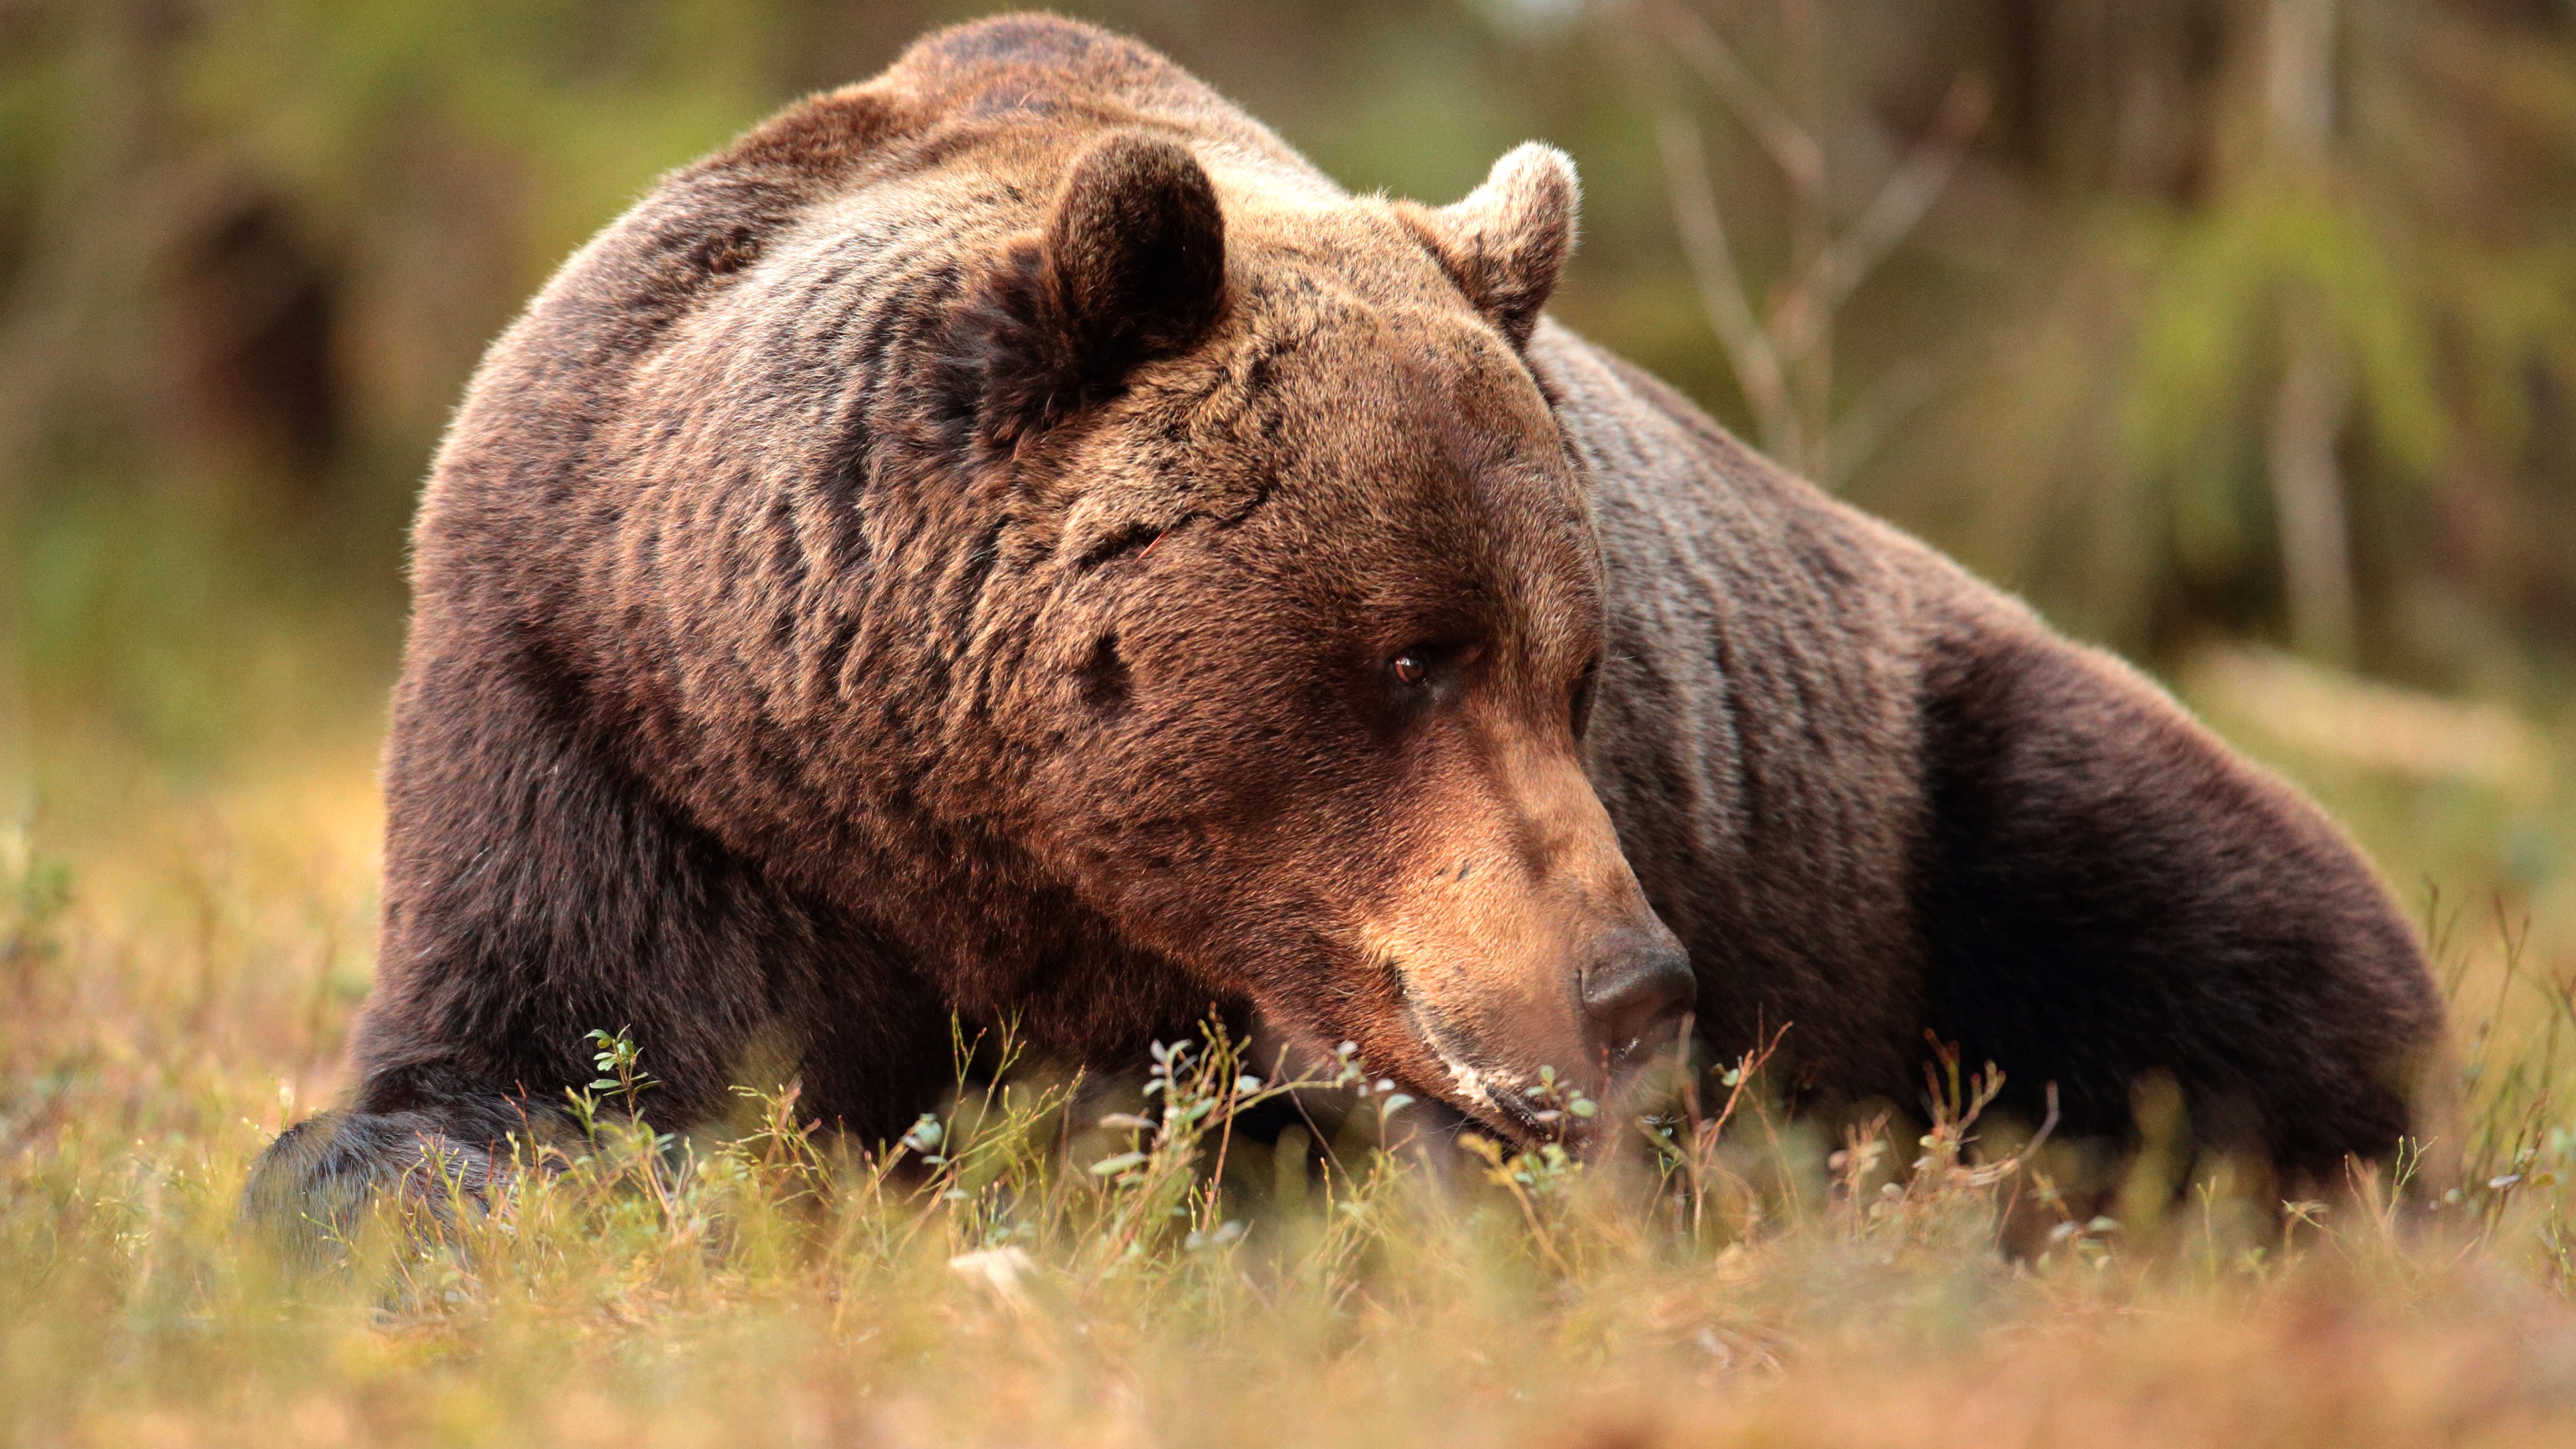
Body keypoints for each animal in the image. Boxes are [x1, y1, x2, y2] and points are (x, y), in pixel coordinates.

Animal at [251, 17, 2442, 1222]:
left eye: (1578, 663)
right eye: (1412, 656)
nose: (1634, 985)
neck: (959, 825)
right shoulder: (616, 731)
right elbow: (516, 1068)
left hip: (1927, 775)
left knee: (2220, 921)